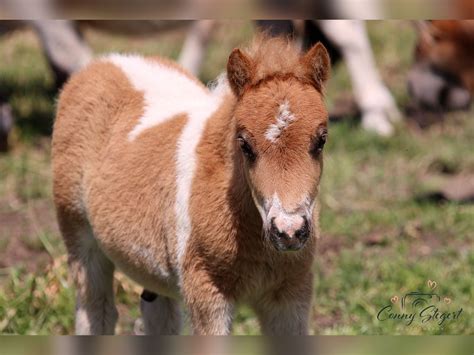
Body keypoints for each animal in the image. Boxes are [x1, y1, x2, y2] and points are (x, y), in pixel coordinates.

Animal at [51, 34, 332, 336]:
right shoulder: (206, 290)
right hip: (78, 233)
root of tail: (104, 62)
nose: (289, 231)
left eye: (321, 140)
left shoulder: (291, 292)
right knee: (95, 310)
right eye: (244, 144)